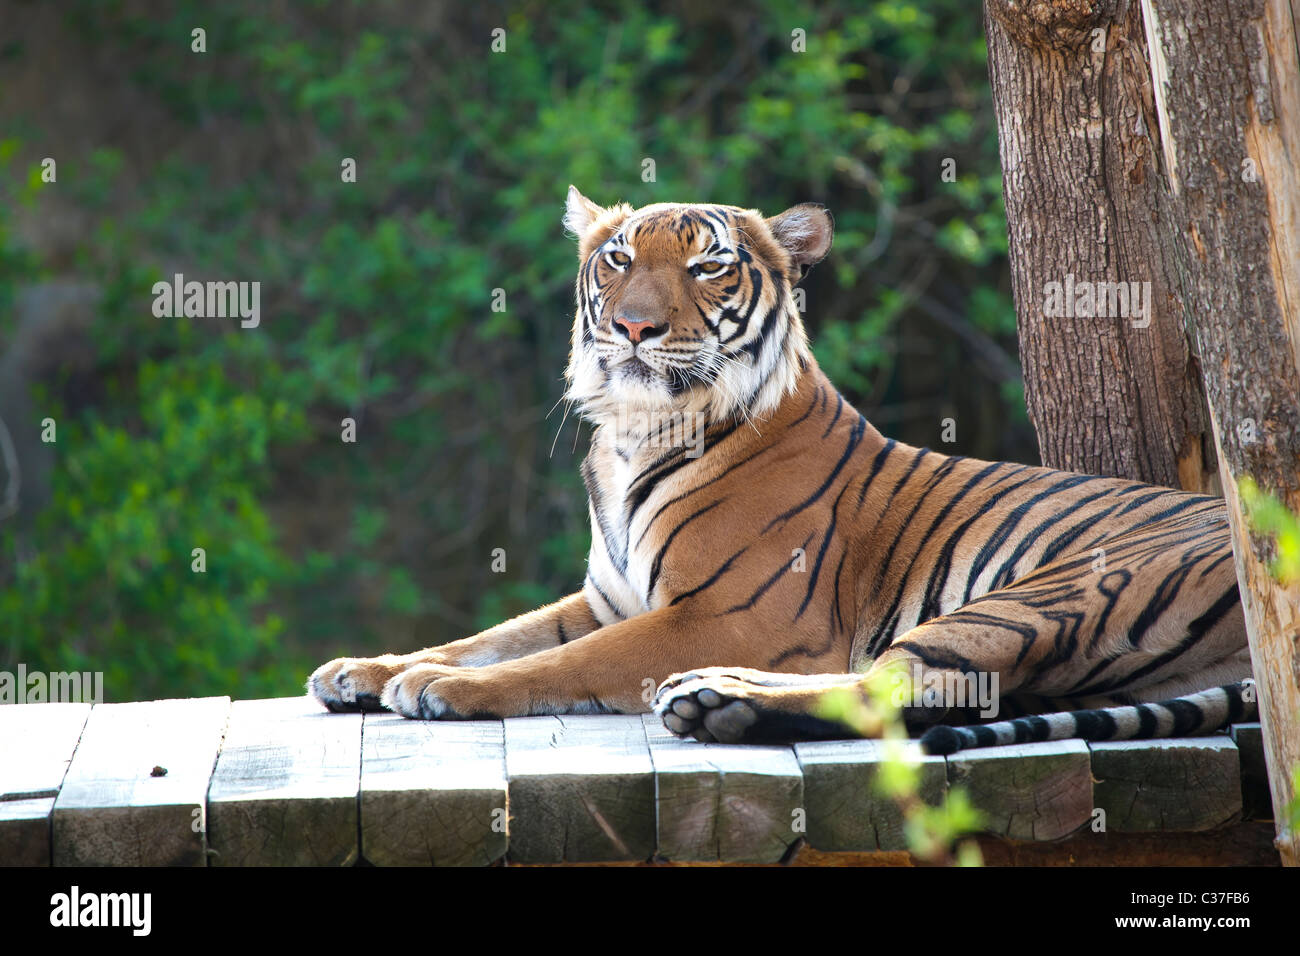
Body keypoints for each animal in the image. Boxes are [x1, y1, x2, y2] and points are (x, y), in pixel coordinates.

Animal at [308, 187, 1256, 754]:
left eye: (706, 265)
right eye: (619, 260)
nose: (634, 328)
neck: (634, 433)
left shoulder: (727, 611)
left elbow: (559, 663)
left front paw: (437, 688)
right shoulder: (607, 596)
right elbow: (493, 634)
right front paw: (366, 670)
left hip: (1038, 595)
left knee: (901, 684)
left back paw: (711, 696)